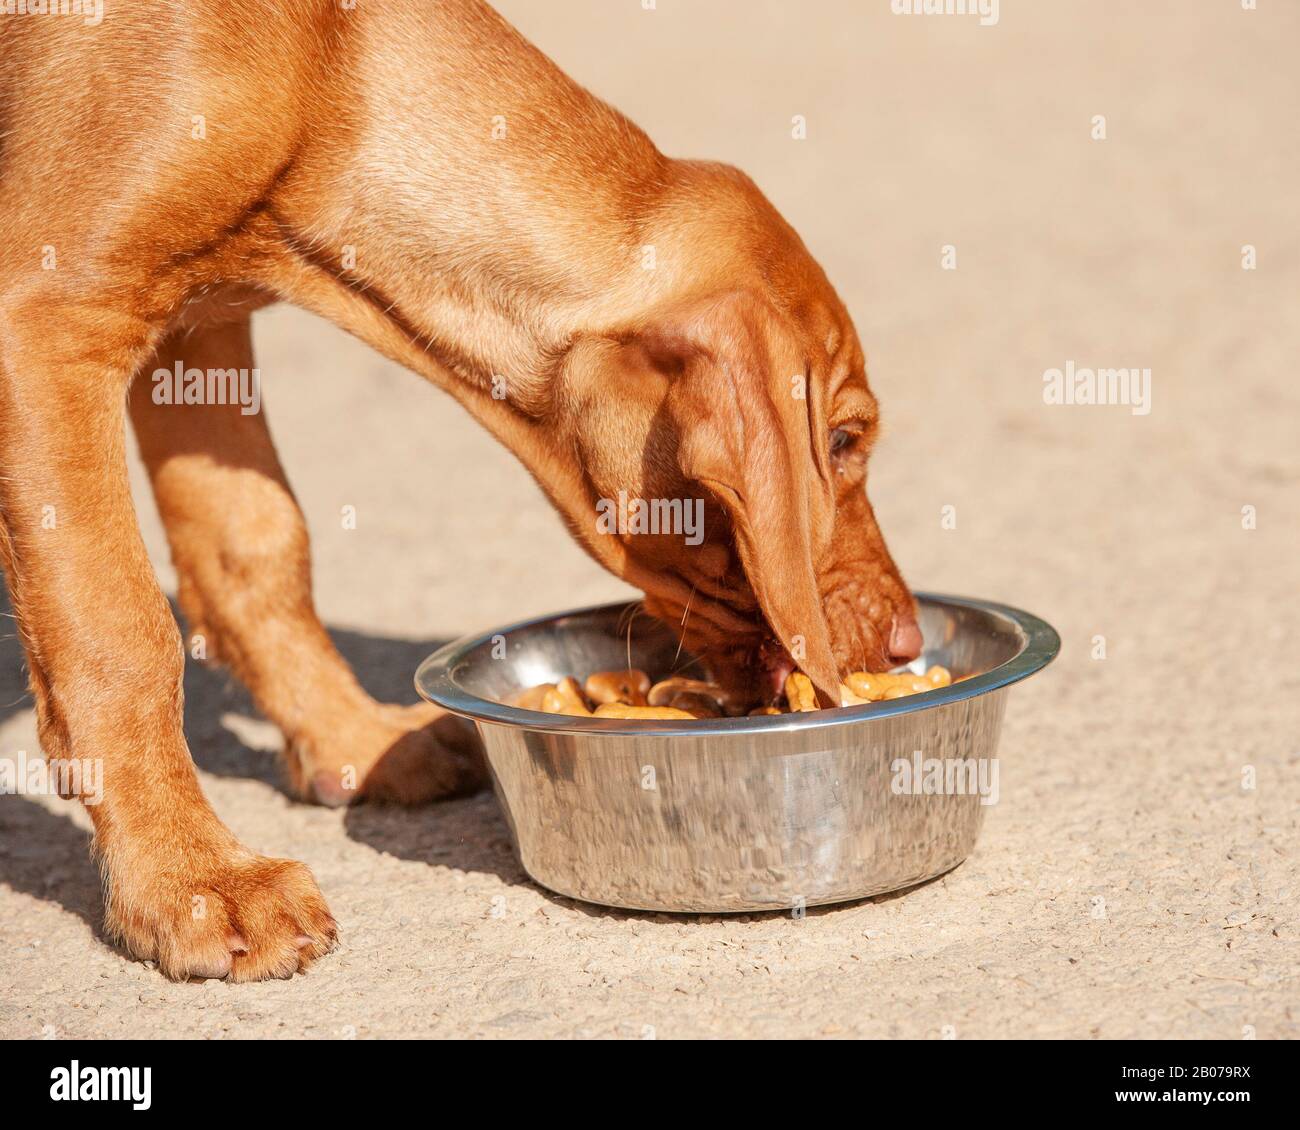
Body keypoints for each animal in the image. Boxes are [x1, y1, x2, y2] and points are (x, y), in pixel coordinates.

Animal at [0, 0, 920, 977]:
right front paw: (190, 881)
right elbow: (121, 635)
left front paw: (349, 741)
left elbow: (256, 543)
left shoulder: (194, 328)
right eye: (843, 440)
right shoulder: (50, 319)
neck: (325, 71)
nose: (905, 641)